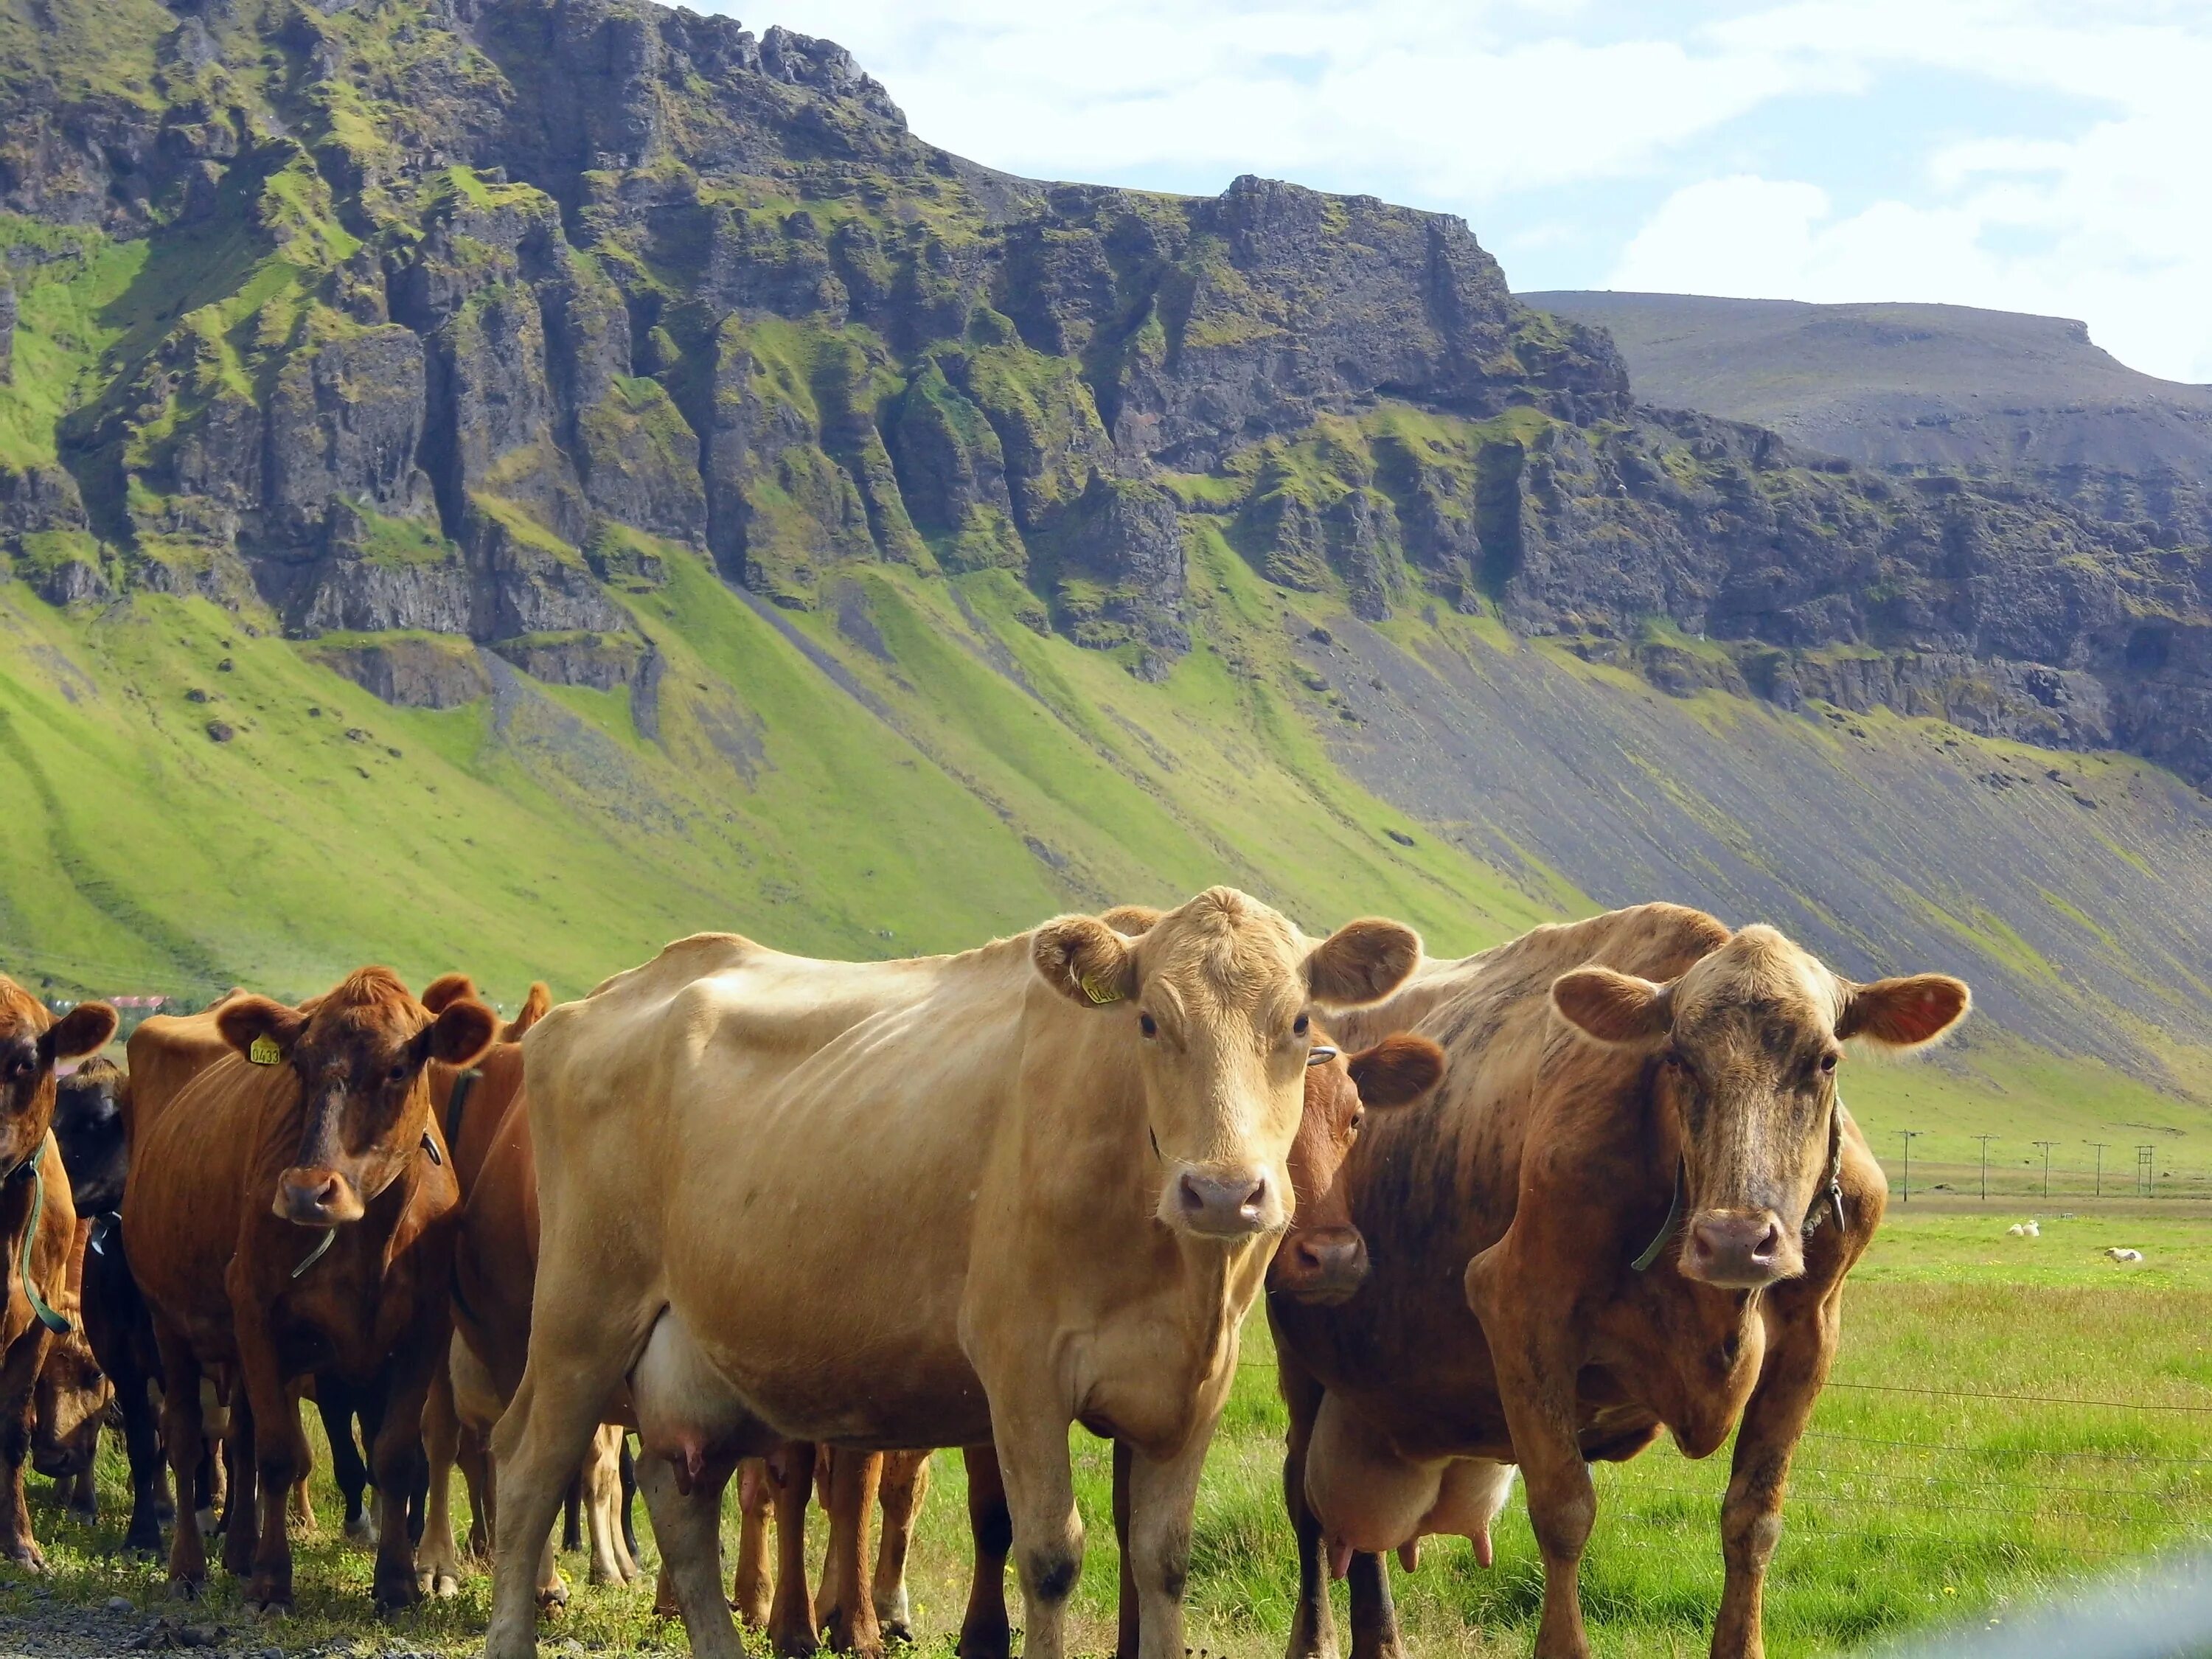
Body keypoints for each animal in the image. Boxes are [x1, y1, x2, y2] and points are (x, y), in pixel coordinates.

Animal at [119, 969, 493, 1619]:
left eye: (399, 1067)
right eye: (301, 1064)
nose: (305, 1192)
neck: (370, 1237)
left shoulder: (422, 1332)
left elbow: (395, 1456)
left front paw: (396, 1584)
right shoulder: (257, 1311)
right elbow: (278, 1453)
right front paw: (273, 1583)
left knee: (237, 1438)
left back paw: (239, 1552)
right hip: (171, 1321)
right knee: (188, 1438)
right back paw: (190, 1567)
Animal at [482, 889, 1416, 1659]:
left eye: (1299, 1023)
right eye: (1149, 1020)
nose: (1223, 1190)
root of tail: (615, 993)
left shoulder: (1195, 1389)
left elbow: (1162, 1559)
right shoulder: (1022, 1368)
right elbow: (1049, 1554)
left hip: (703, 1352)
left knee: (679, 1495)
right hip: (582, 1317)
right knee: (527, 1466)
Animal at [1265, 911, 1973, 1659]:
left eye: (1827, 1060)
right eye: (1677, 1059)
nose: (1735, 1240)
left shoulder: (1812, 1334)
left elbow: (1754, 1517)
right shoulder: (1519, 1306)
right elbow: (1564, 1510)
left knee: (1360, 1530)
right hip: (1300, 1352)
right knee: (1305, 1502)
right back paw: (1314, 1639)